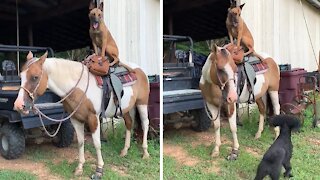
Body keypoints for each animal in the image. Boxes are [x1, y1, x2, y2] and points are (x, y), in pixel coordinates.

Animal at [13, 51, 151, 177]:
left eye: (35, 77)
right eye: (20, 77)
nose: (19, 105)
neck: (78, 86)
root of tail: (139, 70)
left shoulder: (93, 118)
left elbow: (97, 143)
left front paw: (99, 170)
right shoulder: (76, 119)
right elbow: (80, 142)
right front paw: (79, 168)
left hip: (142, 103)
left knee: (145, 124)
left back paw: (145, 153)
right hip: (127, 108)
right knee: (129, 124)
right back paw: (124, 151)